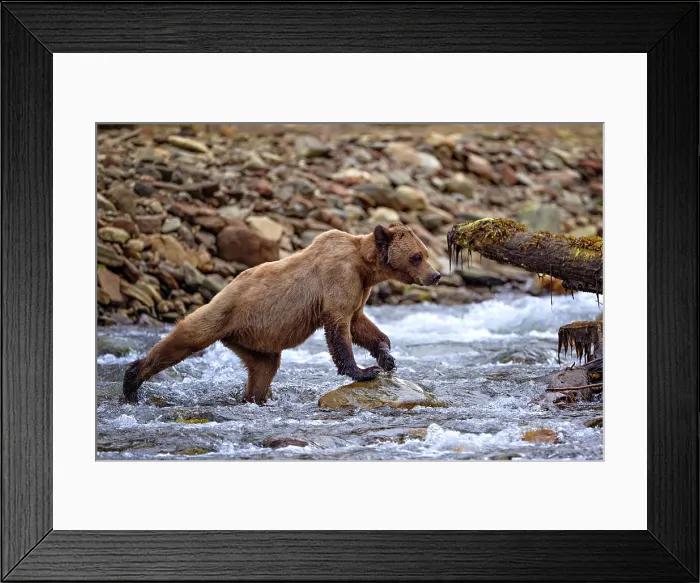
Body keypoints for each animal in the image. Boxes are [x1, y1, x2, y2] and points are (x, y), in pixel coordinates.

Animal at [123, 223, 441, 405]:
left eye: (425, 252)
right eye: (417, 256)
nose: (436, 275)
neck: (365, 267)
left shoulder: (359, 289)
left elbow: (360, 323)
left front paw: (387, 357)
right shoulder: (338, 278)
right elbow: (339, 326)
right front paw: (363, 371)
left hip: (253, 340)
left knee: (264, 369)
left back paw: (253, 399)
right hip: (224, 312)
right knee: (186, 337)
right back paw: (131, 380)